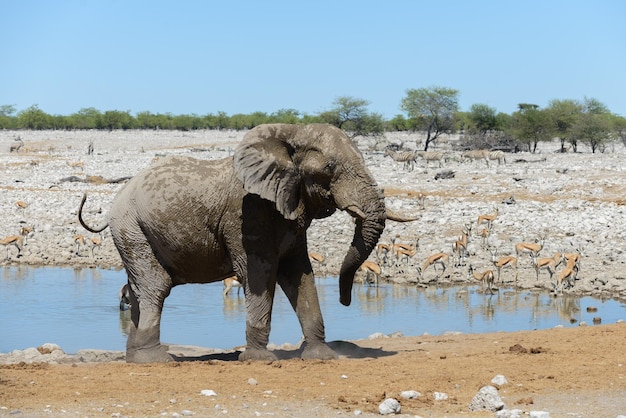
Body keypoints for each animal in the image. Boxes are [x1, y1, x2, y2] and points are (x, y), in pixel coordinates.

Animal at [78, 123, 412, 362]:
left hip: (132, 232)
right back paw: (156, 360)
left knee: (137, 290)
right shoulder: (247, 213)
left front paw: (321, 356)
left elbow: (300, 274)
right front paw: (260, 359)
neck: (289, 134)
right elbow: (260, 273)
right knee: (154, 288)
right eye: (330, 168)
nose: (346, 301)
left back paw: (136, 358)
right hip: (132, 229)